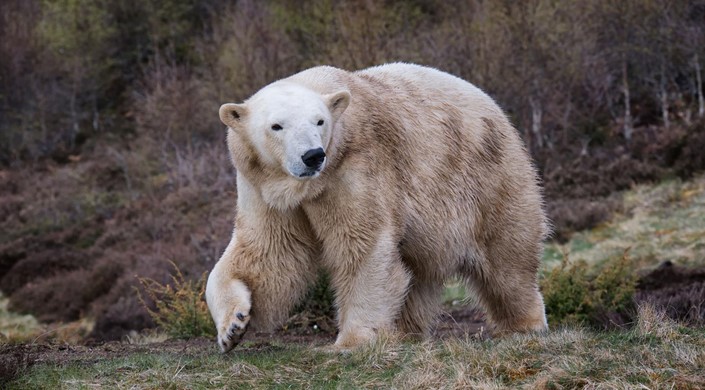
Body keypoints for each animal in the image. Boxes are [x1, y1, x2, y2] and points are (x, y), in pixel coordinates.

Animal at [206, 64, 548, 354]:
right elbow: (269, 253)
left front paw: (354, 340)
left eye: (319, 121)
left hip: (488, 178)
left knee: (506, 260)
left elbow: (362, 243)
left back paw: (524, 324)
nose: (313, 155)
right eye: (276, 126)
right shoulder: (263, 187)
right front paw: (232, 327)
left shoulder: (354, 167)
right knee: (417, 271)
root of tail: (495, 106)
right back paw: (405, 332)